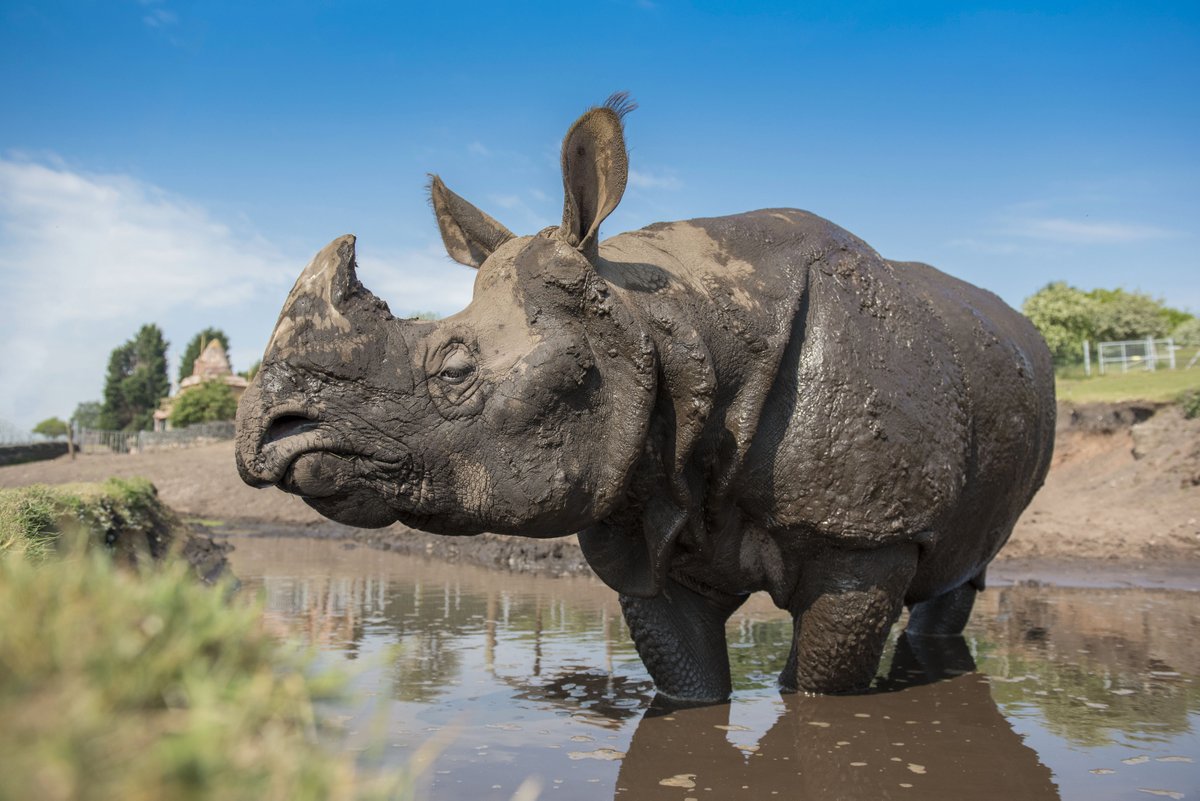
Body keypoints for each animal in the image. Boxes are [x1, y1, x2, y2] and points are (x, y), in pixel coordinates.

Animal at [236, 95, 1055, 701]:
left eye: (456, 368)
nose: (267, 435)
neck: (668, 321)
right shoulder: (638, 507)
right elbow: (688, 681)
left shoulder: (863, 535)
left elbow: (819, 685)